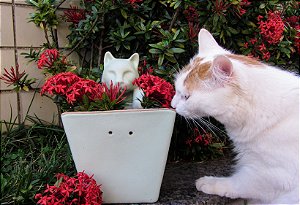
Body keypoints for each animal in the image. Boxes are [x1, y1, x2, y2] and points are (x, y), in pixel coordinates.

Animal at [171, 28, 300, 203]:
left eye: (186, 97)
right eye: (176, 89)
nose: (172, 105)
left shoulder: (274, 175)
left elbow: (240, 182)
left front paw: (211, 183)